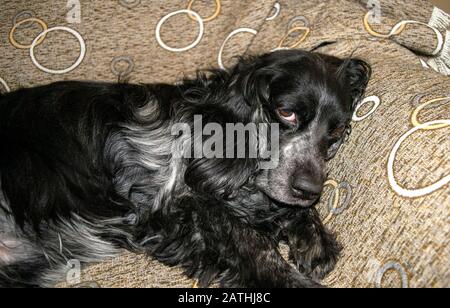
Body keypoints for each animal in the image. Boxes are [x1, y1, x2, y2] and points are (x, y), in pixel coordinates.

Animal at [0, 49, 370, 288]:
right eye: (286, 113)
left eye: (336, 130)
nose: (309, 189)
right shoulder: (166, 207)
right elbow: (251, 242)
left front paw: (314, 240)